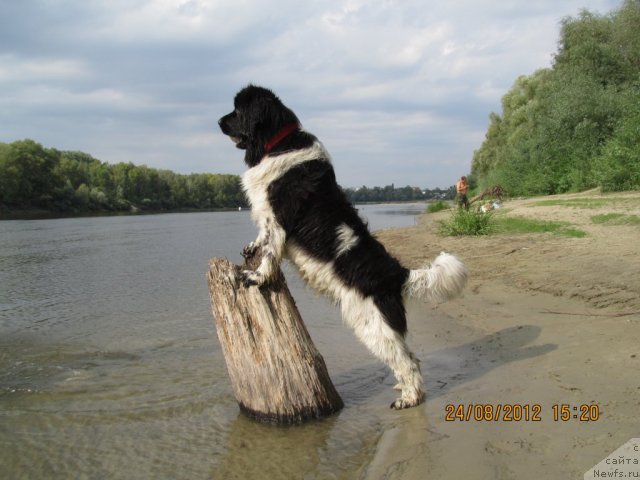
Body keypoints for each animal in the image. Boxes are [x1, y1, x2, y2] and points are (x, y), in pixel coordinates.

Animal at [219, 85, 464, 408]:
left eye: (237, 110)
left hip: (374, 324)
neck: (279, 142)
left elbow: (271, 251)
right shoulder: (267, 215)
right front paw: (251, 249)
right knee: (408, 357)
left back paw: (409, 399)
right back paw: (403, 389)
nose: (218, 122)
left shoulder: (279, 215)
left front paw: (256, 277)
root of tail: (395, 273)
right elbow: (263, 237)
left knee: (409, 361)